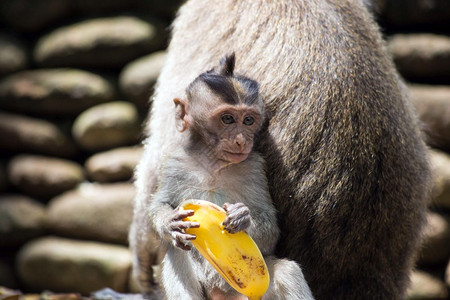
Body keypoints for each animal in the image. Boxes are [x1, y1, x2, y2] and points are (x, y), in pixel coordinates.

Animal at [149, 54, 312, 300]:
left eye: (248, 120)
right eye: (227, 119)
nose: (241, 140)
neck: (213, 164)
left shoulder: (255, 167)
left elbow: (270, 229)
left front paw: (243, 218)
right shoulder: (173, 163)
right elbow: (160, 204)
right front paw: (169, 222)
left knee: (287, 272)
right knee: (178, 257)